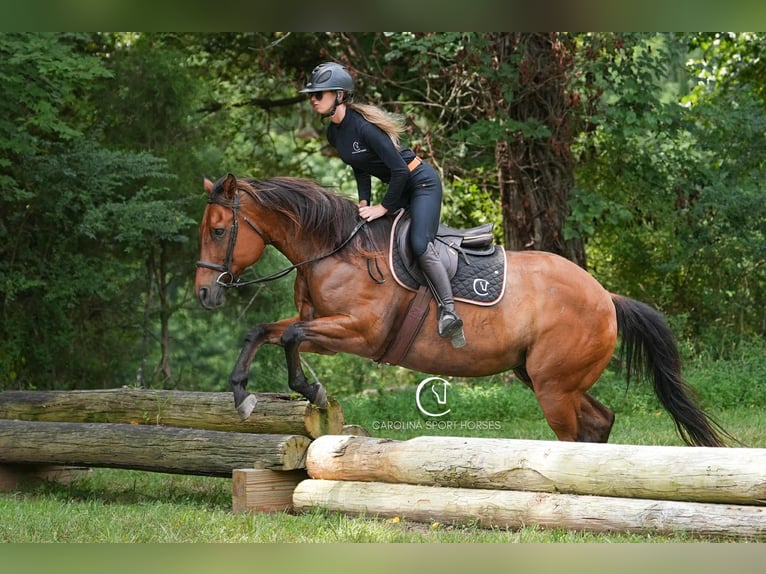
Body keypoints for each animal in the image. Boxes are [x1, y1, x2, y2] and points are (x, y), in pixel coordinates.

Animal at [195, 173, 735, 447]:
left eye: (219, 231)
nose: (203, 294)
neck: (335, 249)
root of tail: (606, 297)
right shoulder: (320, 325)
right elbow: (262, 331)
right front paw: (242, 394)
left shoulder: (360, 333)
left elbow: (288, 338)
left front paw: (311, 389)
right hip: (543, 377)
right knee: (599, 421)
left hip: (553, 386)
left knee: (573, 434)